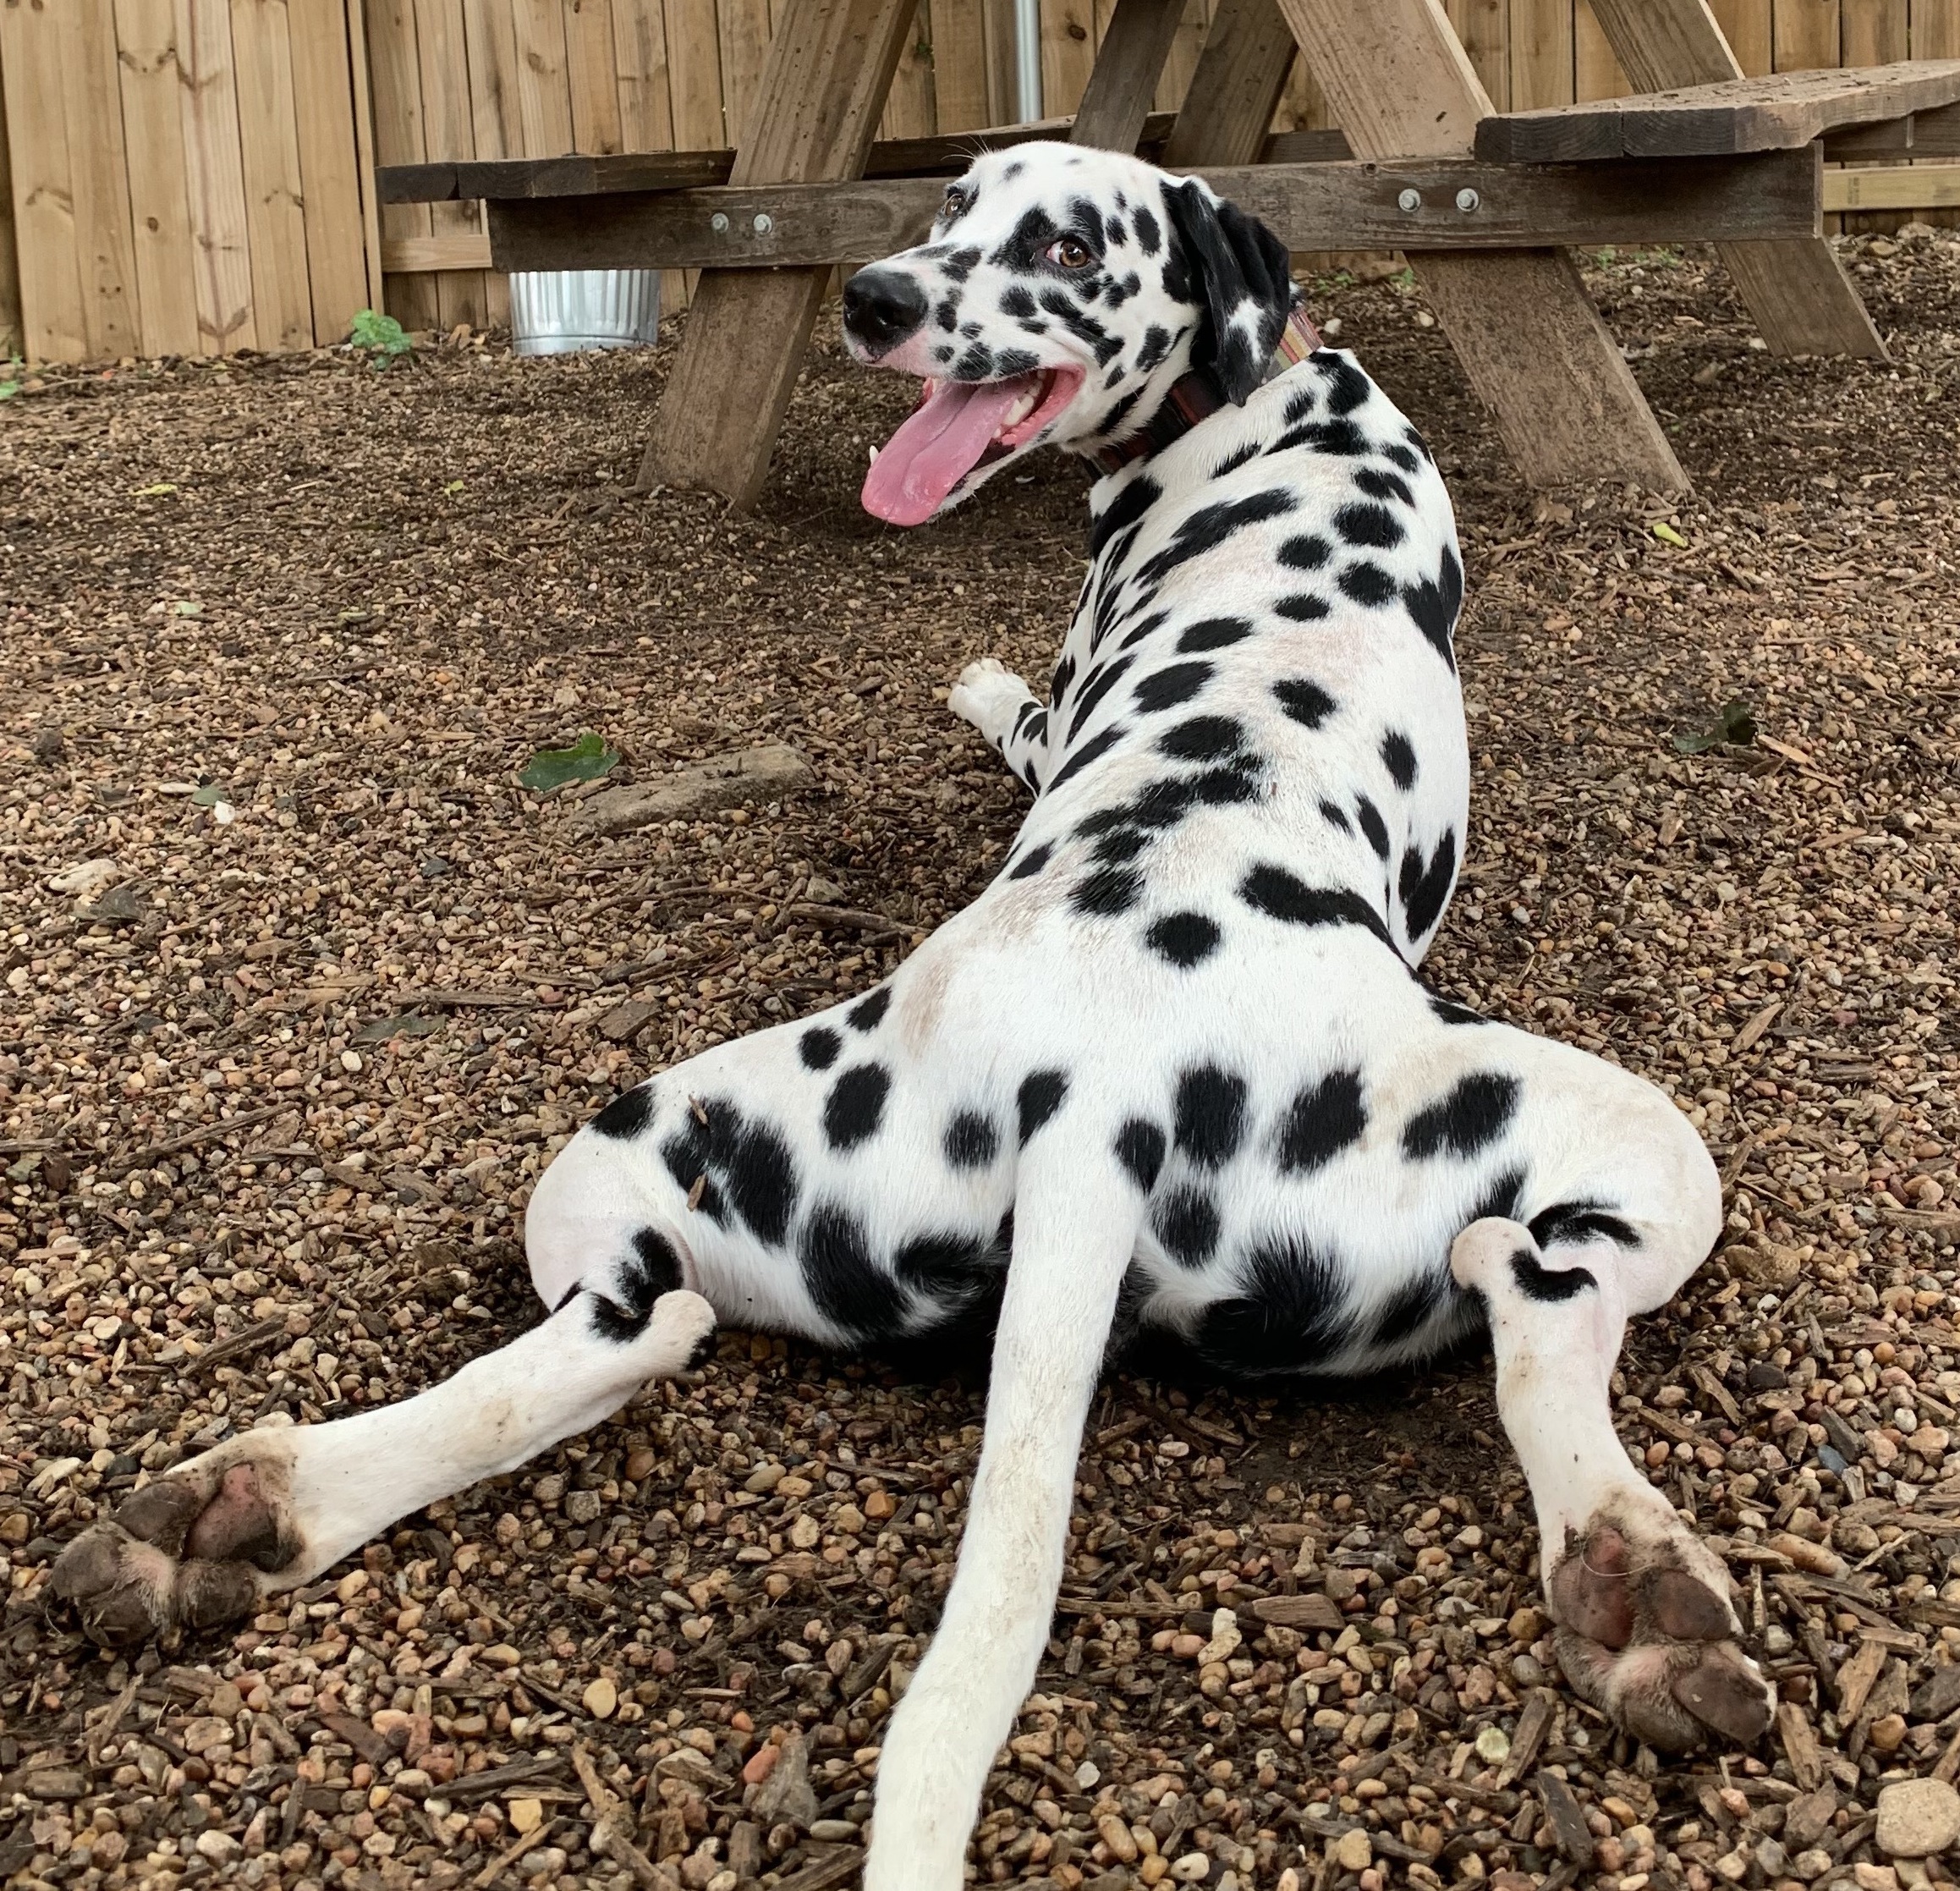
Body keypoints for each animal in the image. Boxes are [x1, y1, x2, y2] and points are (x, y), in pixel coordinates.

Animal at [53, 144, 1771, 1873]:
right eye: (954, 201)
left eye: (1067, 243)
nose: (875, 298)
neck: (1261, 404)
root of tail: (1099, 1098)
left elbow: (1009, 703)